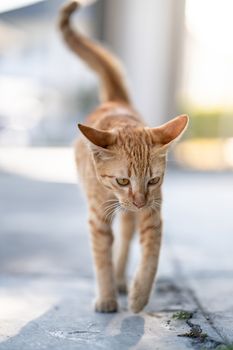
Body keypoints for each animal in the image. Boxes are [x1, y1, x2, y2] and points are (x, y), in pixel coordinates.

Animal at [59, 0, 188, 312]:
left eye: (153, 180)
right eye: (122, 181)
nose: (139, 201)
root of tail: (116, 100)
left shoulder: (153, 213)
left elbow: (151, 255)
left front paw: (139, 294)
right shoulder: (98, 217)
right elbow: (101, 257)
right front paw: (106, 297)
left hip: (133, 216)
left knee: (126, 239)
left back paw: (122, 280)